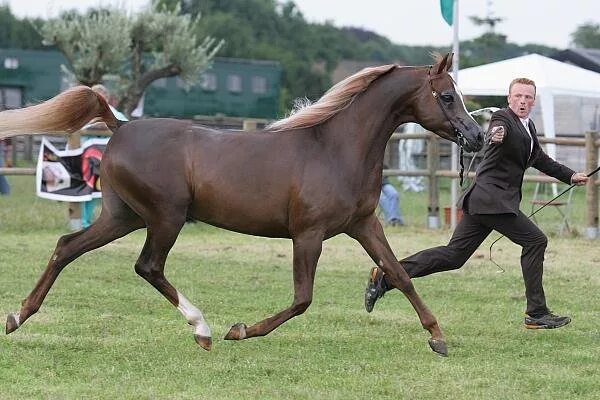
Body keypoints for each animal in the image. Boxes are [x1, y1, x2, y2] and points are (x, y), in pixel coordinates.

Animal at [0, 53, 482, 356]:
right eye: (446, 96)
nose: (476, 136)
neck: (334, 148)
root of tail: (119, 127)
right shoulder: (308, 235)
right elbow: (303, 298)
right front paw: (241, 330)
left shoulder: (364, 224)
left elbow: (399, 274)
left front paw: (437, 338)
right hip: (166, 217)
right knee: (147, 266)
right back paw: (203, 329)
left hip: (124, 216)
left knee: (67, 247)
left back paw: (18, 316)